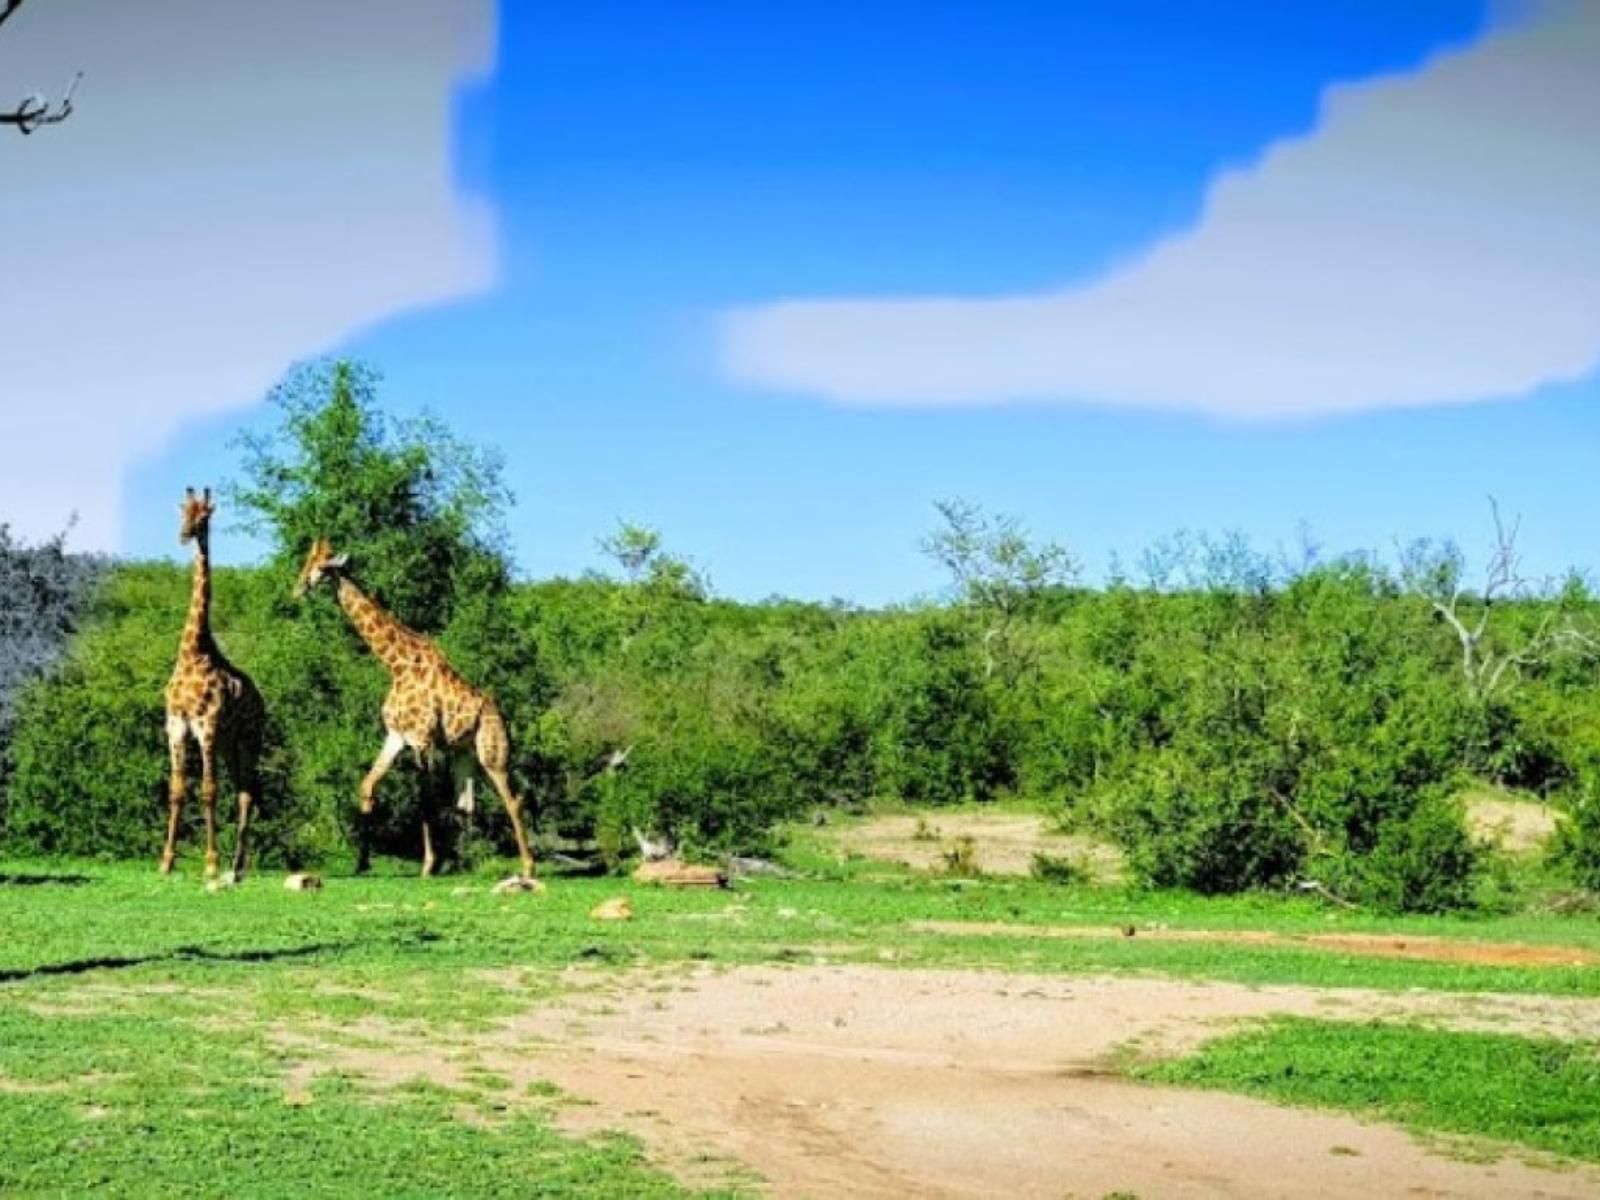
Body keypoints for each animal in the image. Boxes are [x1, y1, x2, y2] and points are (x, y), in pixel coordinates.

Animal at [160, 486, 264, 883]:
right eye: (182, 513)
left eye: (204, 516)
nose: (184, 534)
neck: (194, 650)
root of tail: (262, 701)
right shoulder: (176, 726)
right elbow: (177, 790)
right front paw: (166, 861)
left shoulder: (205, 726)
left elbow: (207, 791)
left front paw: (210, 862)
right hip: (227, 745)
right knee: (243, 790)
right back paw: (236, 865)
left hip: (248, 739)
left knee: (247, 793)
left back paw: (235, 867)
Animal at [291, 540, 534, 876]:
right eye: (307, 562)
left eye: (321, 567)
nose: (297, 588)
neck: (396, 665)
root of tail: (503, 718)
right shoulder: (396, 736)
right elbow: (368, 787)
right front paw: (362, 862)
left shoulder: (422, 740)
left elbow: (424, 802)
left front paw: (428, 865)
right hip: (464, 754)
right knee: (465, 804)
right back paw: (465, 864)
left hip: (492, 751)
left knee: (513, 800)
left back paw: (527, 868)